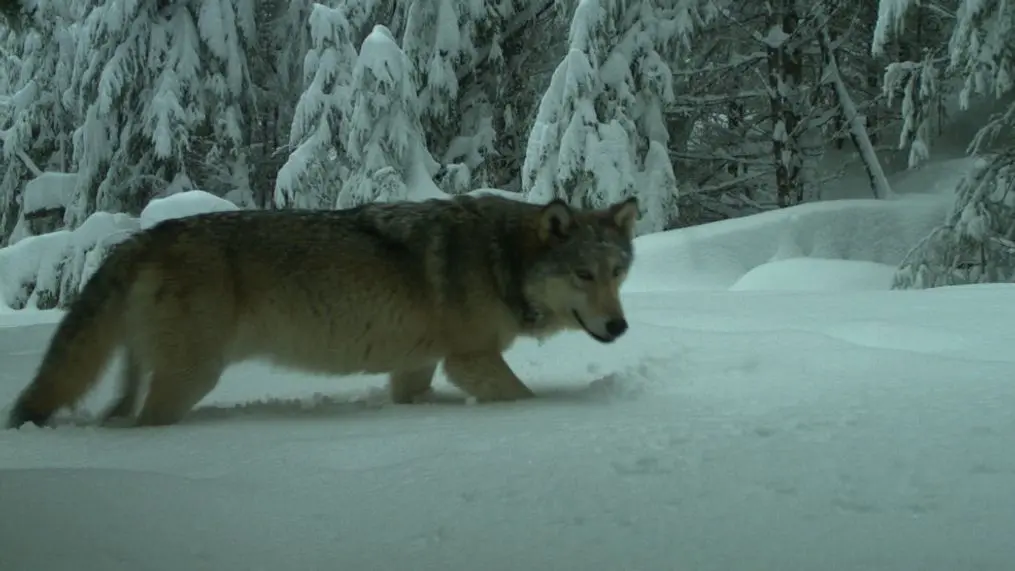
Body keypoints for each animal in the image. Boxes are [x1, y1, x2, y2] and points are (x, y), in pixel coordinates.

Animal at [6, 193, 639, 429]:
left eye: (618, 272)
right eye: (584, 275)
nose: (619, 326)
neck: (498, 258)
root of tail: (146, 237)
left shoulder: (416, 366)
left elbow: (411, 398)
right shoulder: (471, 360)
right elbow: (523, 398)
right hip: (190, 379)